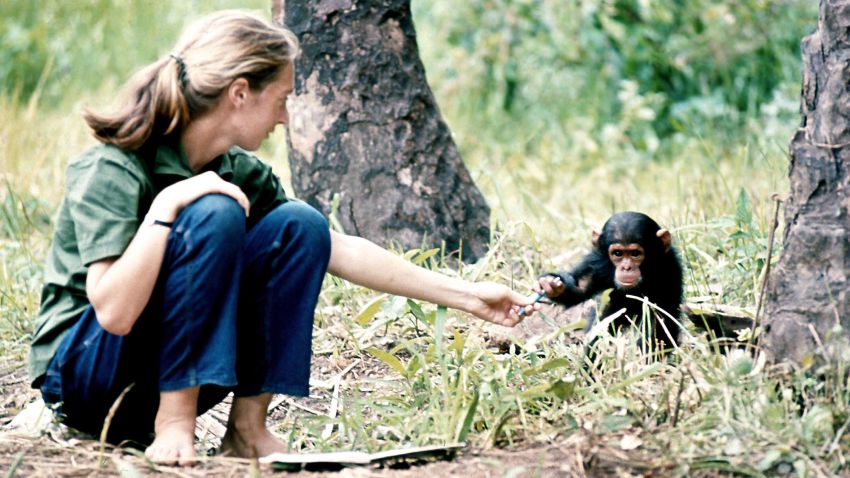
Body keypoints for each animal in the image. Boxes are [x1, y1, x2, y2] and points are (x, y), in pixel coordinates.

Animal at [536, 212, 684, 352]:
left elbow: (660, 319)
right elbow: (580, 287)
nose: (626, 267)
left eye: (635, 254)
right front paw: (550, 284)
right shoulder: (596, 262)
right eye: (618, 253)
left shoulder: (669, 267)